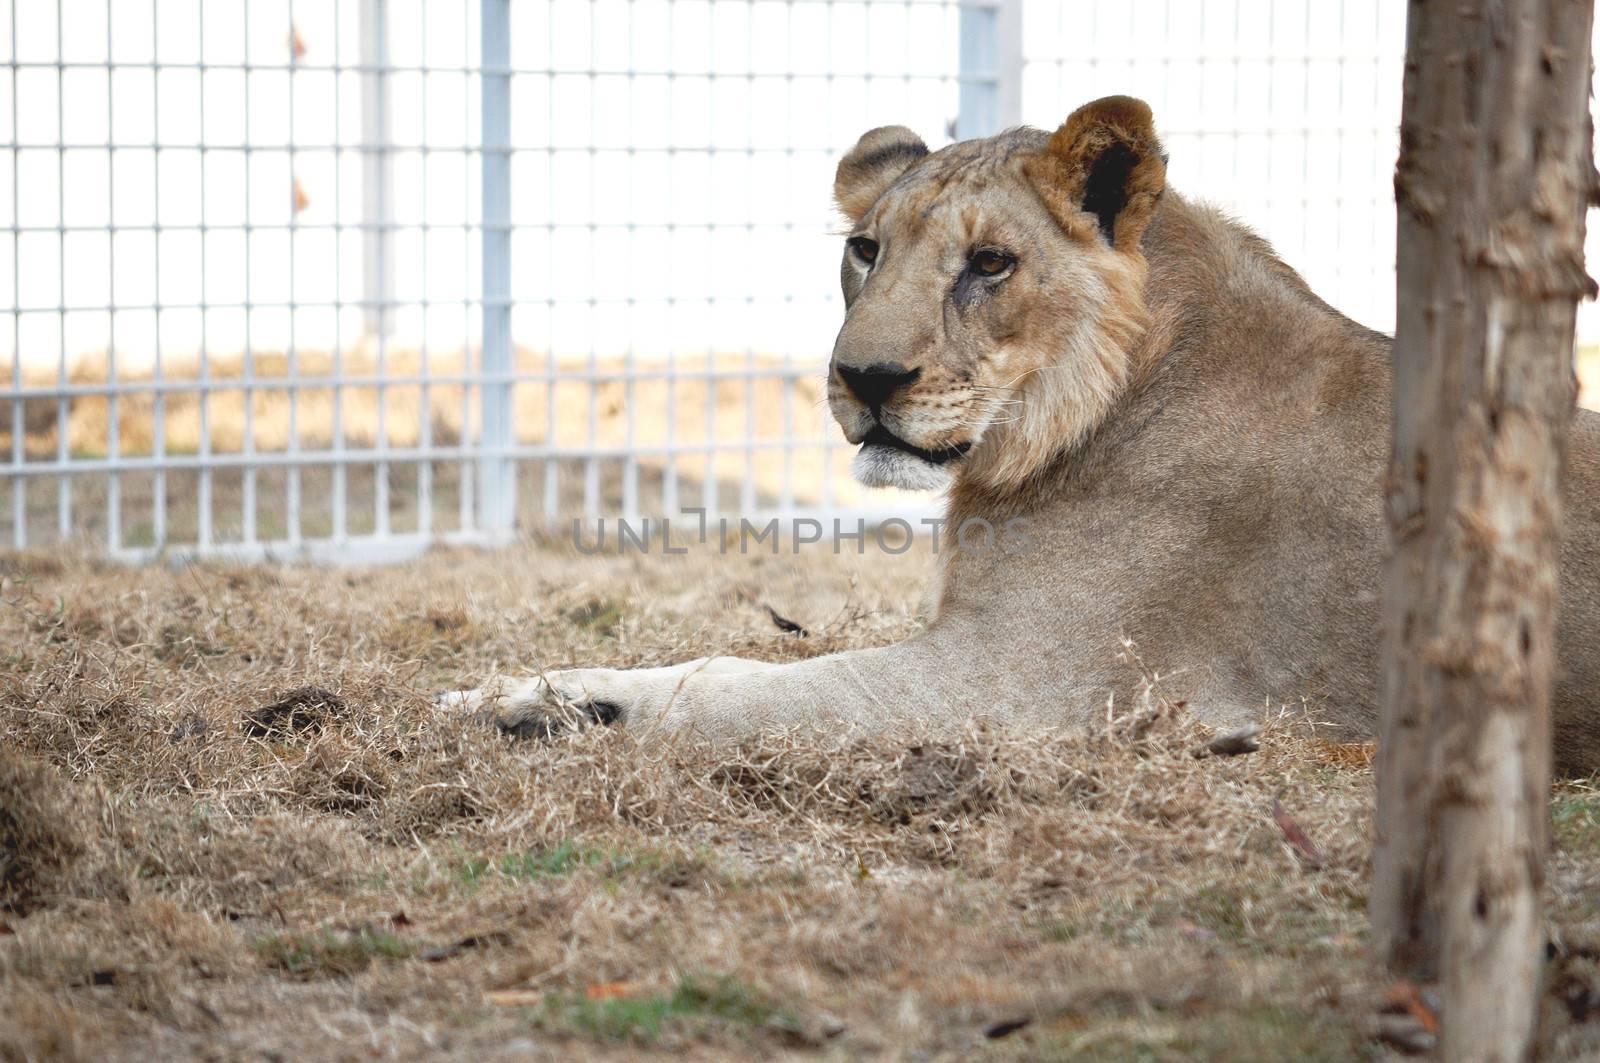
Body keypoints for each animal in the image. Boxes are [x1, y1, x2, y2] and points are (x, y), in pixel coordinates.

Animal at [444, 93, 1600, 771]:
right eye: (865, 249)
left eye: (990, 264)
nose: (862, 378)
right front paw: (514, 696)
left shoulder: (1018, 683)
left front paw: (541, 703)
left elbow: (732, 683)